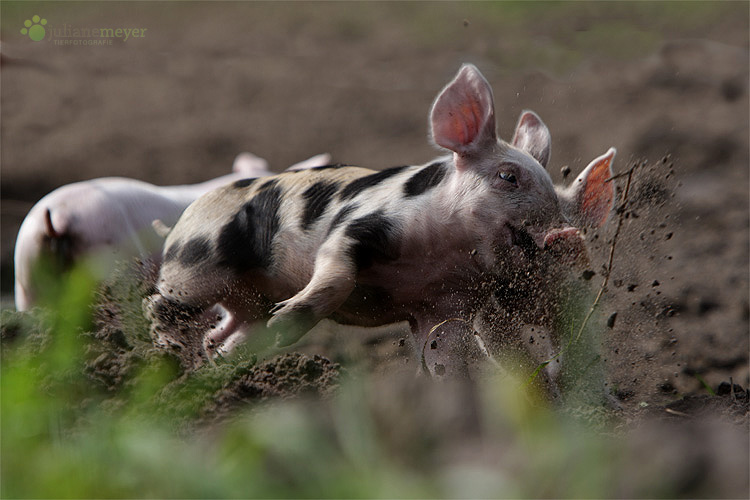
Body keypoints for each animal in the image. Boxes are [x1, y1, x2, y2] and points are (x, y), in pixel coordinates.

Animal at [145, 64, 616, 380]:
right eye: (508, 177)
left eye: (554, 195)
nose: (564, 232)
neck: (437, 256)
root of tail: (185, 217)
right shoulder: (354, 228)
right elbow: (338, 276)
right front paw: (287, 324)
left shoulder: (441, 304)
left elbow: (442, 352)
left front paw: (444, 387)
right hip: (197, 267)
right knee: (159, 305)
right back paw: (170, 359)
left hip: (247, 301)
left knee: (223, 334)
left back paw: (221, 368)